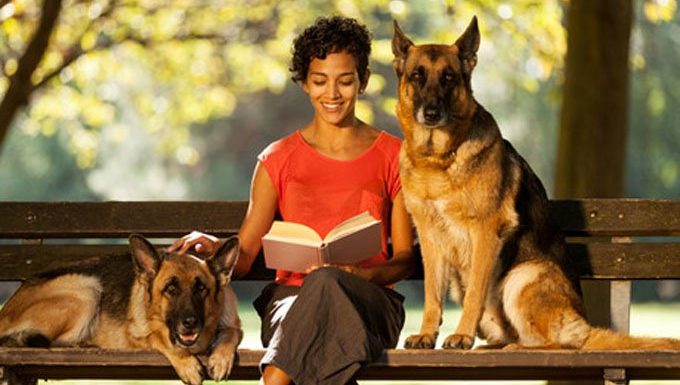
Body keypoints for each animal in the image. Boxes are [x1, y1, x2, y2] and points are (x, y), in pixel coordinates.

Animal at [0, 232, 243, 382]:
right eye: (170, 288)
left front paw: (220, 359)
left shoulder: (233, 325)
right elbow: (160, 338)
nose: (190, 323)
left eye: (201, 288)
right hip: (87, 289)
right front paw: (187, 364)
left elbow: (231, 334)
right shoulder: (136, 336)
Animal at [390, 16, 680, 350]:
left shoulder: (485, 231)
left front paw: (461, 334)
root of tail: (584, 323)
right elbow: (431, 295)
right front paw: (427, 333)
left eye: (448, 78)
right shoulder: (430, 237)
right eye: (417, 76)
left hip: (522, 277)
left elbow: (475, 293)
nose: (431, 113)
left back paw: (517, 347)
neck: (438, 160)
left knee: (561, 343)